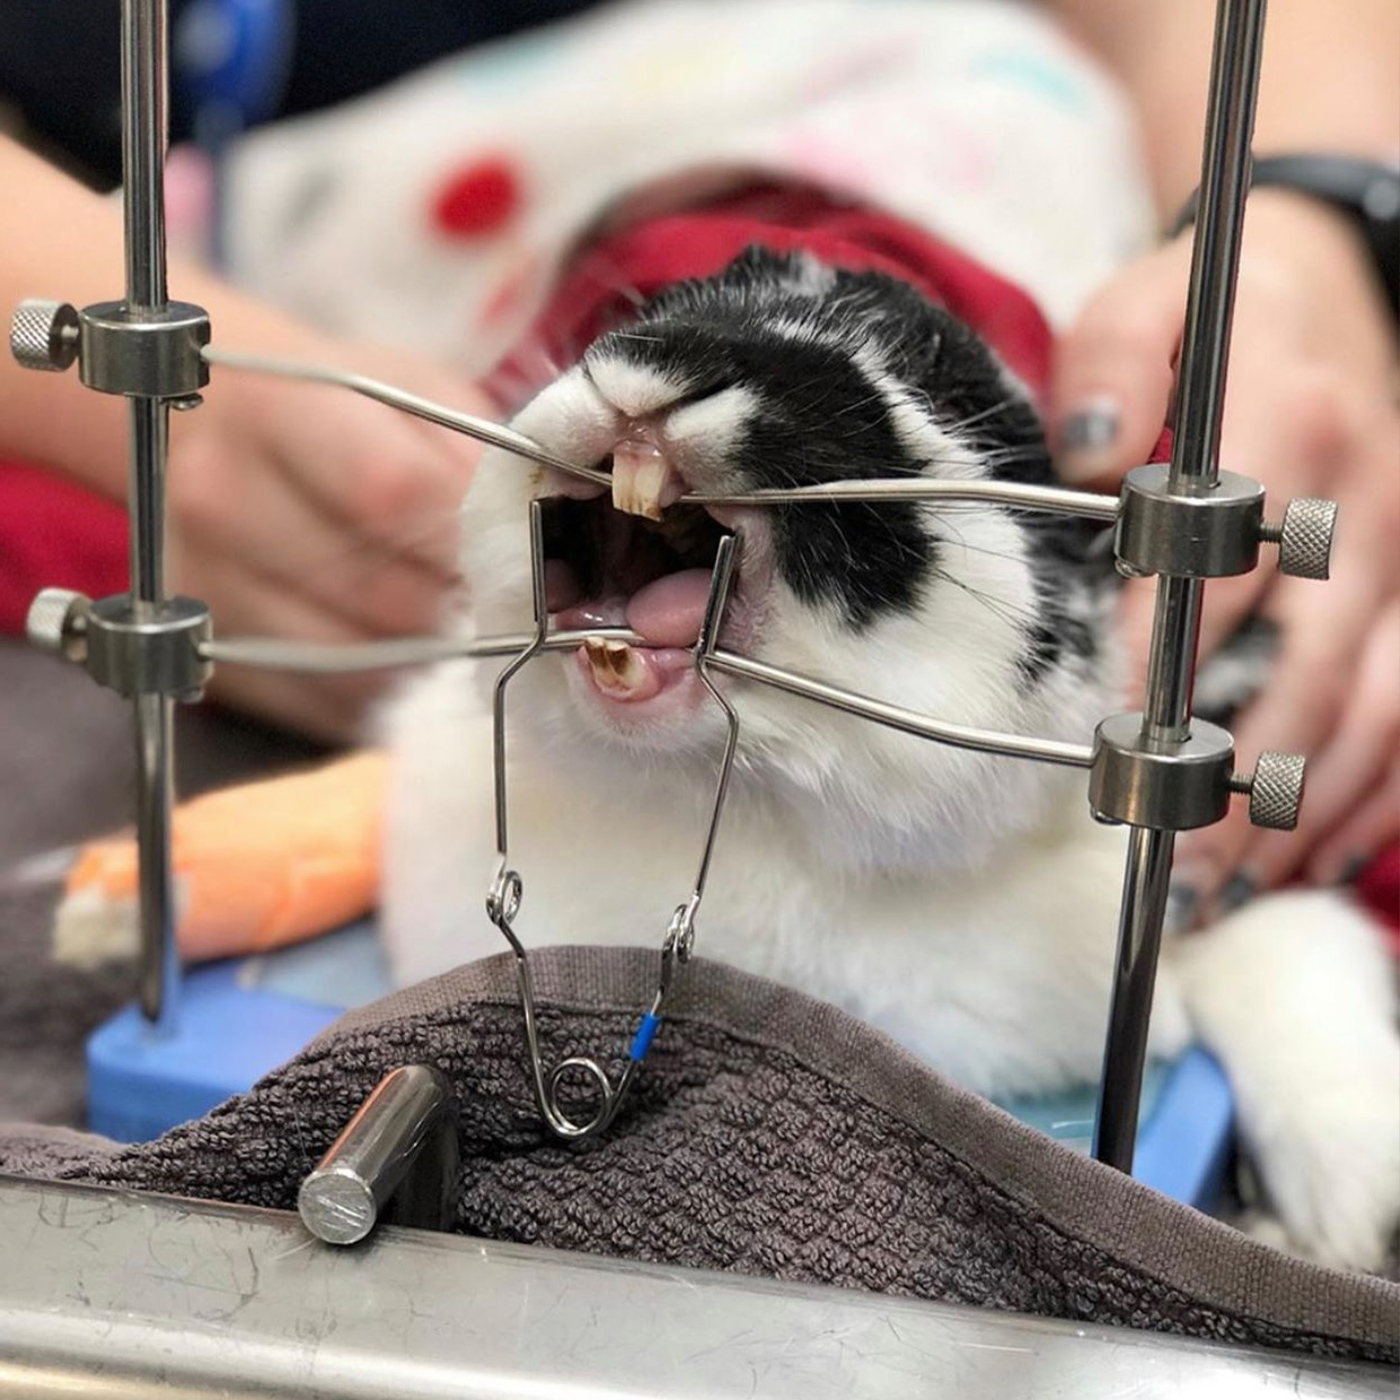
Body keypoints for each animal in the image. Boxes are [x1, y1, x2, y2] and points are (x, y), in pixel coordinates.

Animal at [380, 246, 1400, 1276]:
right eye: (675, 296)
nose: (666, 362)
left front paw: (1350, 1220)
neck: (754, 825)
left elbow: (1287, 945)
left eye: (938, 386)